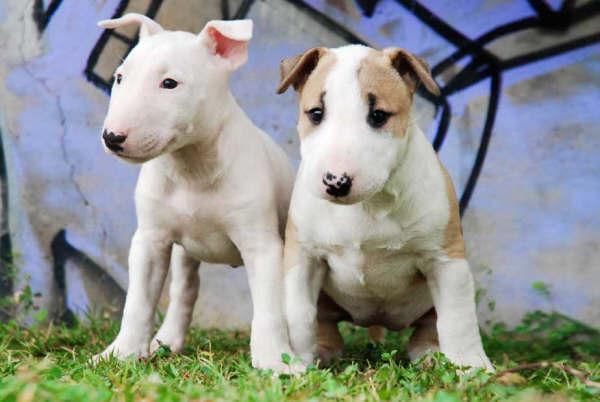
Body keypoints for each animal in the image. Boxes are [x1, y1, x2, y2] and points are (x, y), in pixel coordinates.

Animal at [94, 13, 298, 374]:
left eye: (170, 84)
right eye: (119, 77)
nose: (112, 137)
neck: (191, 167)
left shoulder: (262, 245)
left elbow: (269, 309)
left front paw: (275, 362)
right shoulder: (150, 240)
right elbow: (138, 302)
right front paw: (120, 353)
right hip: (184, 253)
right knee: (185, 289)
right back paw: (166, 341)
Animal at [276, 44, 492, 370]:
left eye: (378, 116)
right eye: (316, 113)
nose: (336, 180)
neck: (369, 204)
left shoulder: (446, 260)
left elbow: (458, 319)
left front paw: (472, 367)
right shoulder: (303, 257)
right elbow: (299, 314)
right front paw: (296, 361)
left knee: (431, 326)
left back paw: (430, 354)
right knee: (325, 326)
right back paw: (322, 352)